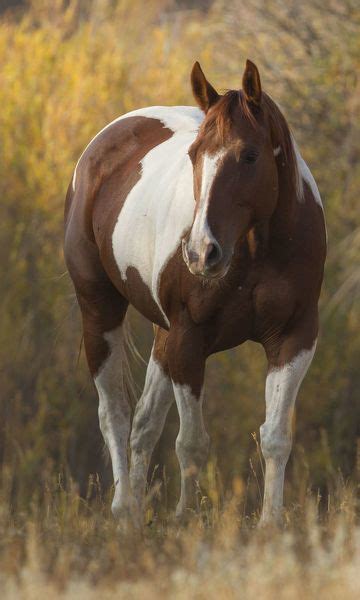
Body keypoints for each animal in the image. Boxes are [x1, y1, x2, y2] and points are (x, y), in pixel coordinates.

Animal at [64, 57, 326, 524]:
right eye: (194, 156)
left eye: (249, 155)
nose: (202, 252)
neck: (257, 249)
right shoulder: (190, 341)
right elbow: (191, 442)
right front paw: (186, 520)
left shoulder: (294, 339)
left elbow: (276, 436)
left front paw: (270, 524)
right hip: (100, 312)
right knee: (114, 413)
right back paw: (124, 509)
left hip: (162, 337)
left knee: (143, 423)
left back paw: (135, 515)